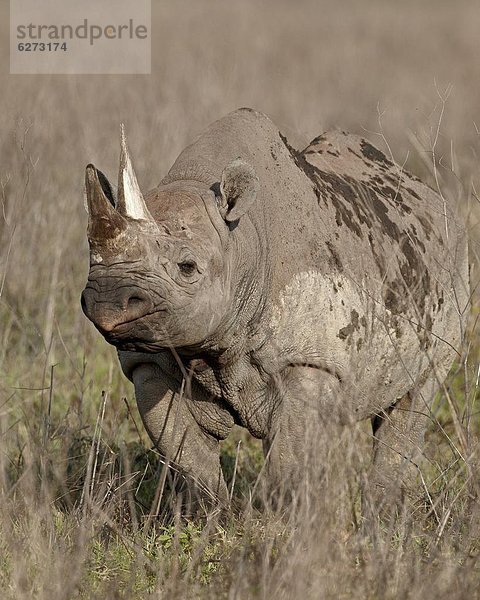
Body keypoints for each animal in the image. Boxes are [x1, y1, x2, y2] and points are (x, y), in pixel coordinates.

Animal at [80, 109, 466, 510]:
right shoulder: (150, 360)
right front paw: (213, 514)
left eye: (187, 267)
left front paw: (282, 517)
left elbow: (289, 458)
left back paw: (380, 512)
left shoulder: (309, 360)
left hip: (447, 266)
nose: (106, 301)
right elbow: (185, 452)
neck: (241, 244)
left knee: (415, 399)